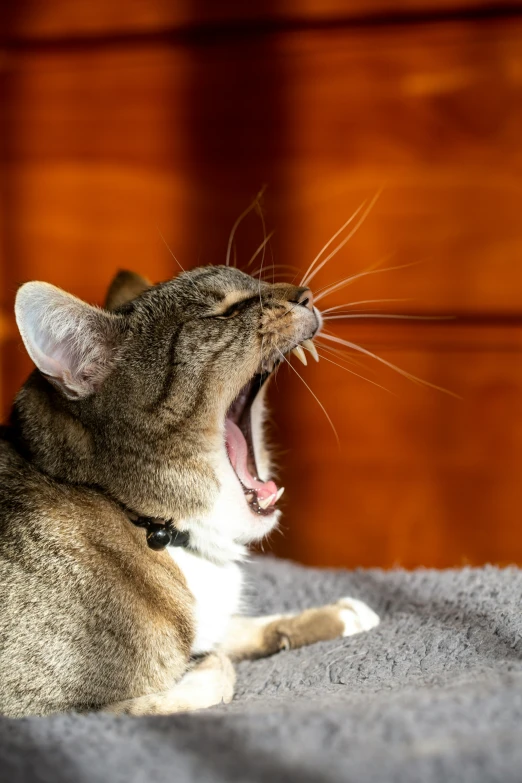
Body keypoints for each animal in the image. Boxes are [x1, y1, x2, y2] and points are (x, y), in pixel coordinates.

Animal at [0, 264, 378, 716]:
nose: (305, 295)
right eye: (224, 311)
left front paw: (334, 616)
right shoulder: (55, 714)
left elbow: (234, 629)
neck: (154, 526)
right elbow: (204, 677)